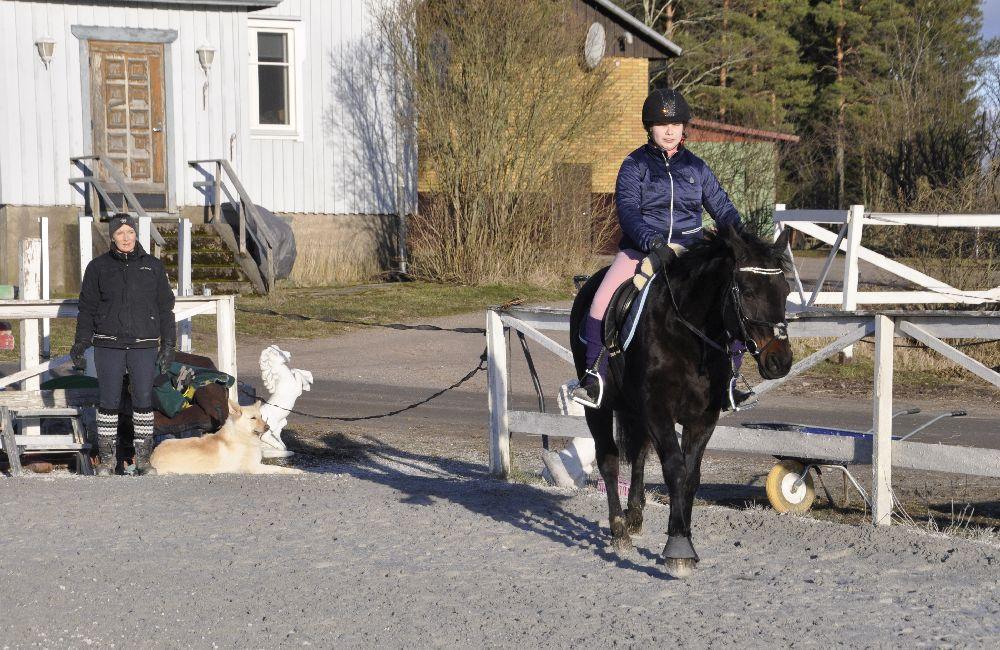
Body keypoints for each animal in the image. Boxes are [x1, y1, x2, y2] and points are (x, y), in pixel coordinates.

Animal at [150, 398, 302, 474]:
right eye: (253, 418)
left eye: (261, 416)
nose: (268, 427)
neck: (241, 434)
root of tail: (153, 456)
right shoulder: (253, 467)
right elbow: (279, 469)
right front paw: (297, 471)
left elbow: (271, 452)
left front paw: (288, 452)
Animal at [572, 228, 796, 576]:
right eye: (746, 292)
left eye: (785, 291)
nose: (780, 362)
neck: (686, 333)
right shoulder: (659, 412)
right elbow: (675, 469)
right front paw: (678, 549)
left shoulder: (702, 419)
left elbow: (691, 476)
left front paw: (685, 537)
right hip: (600, 408)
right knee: (609, 459)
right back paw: (619, 530)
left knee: (638, 455)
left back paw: (634, 517)